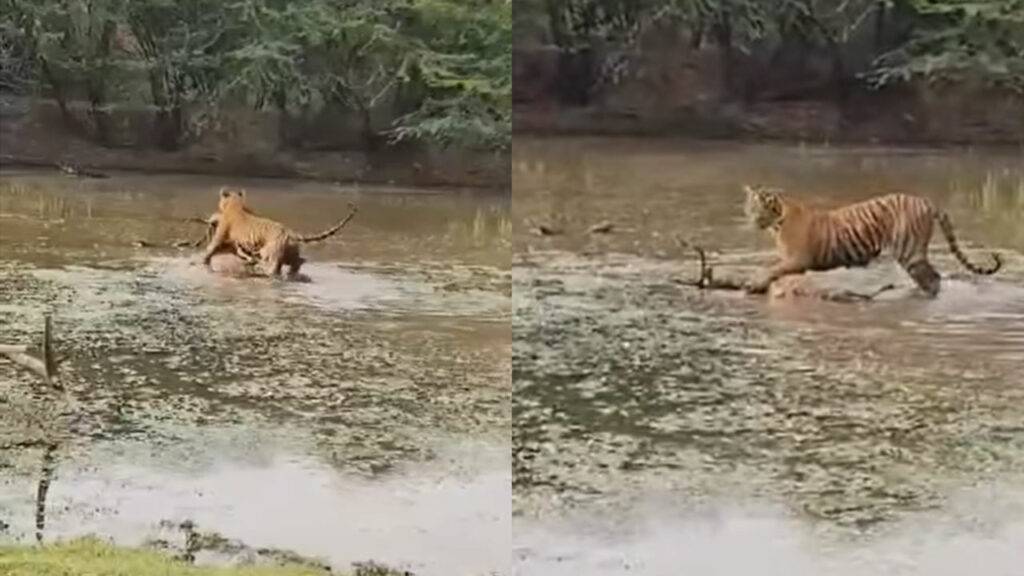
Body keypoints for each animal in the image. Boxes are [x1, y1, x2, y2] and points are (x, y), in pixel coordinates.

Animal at [201, 184, 358, 276]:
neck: (236, 204)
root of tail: (288, 232)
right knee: (299, 262)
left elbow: (209, 250)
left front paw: (203, 261)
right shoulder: (231, 245)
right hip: (290, 254)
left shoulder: (221, 239)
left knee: (274, 267)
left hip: (270, 254)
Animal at [741, 184, 1003, 295]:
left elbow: (769, 268)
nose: (753, 219)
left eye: (761, 207)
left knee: (933, 278)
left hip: (908, 249)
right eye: (750, 206)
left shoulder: (798, 259)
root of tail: (926, 201)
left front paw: (754, 283)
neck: (776, 223)